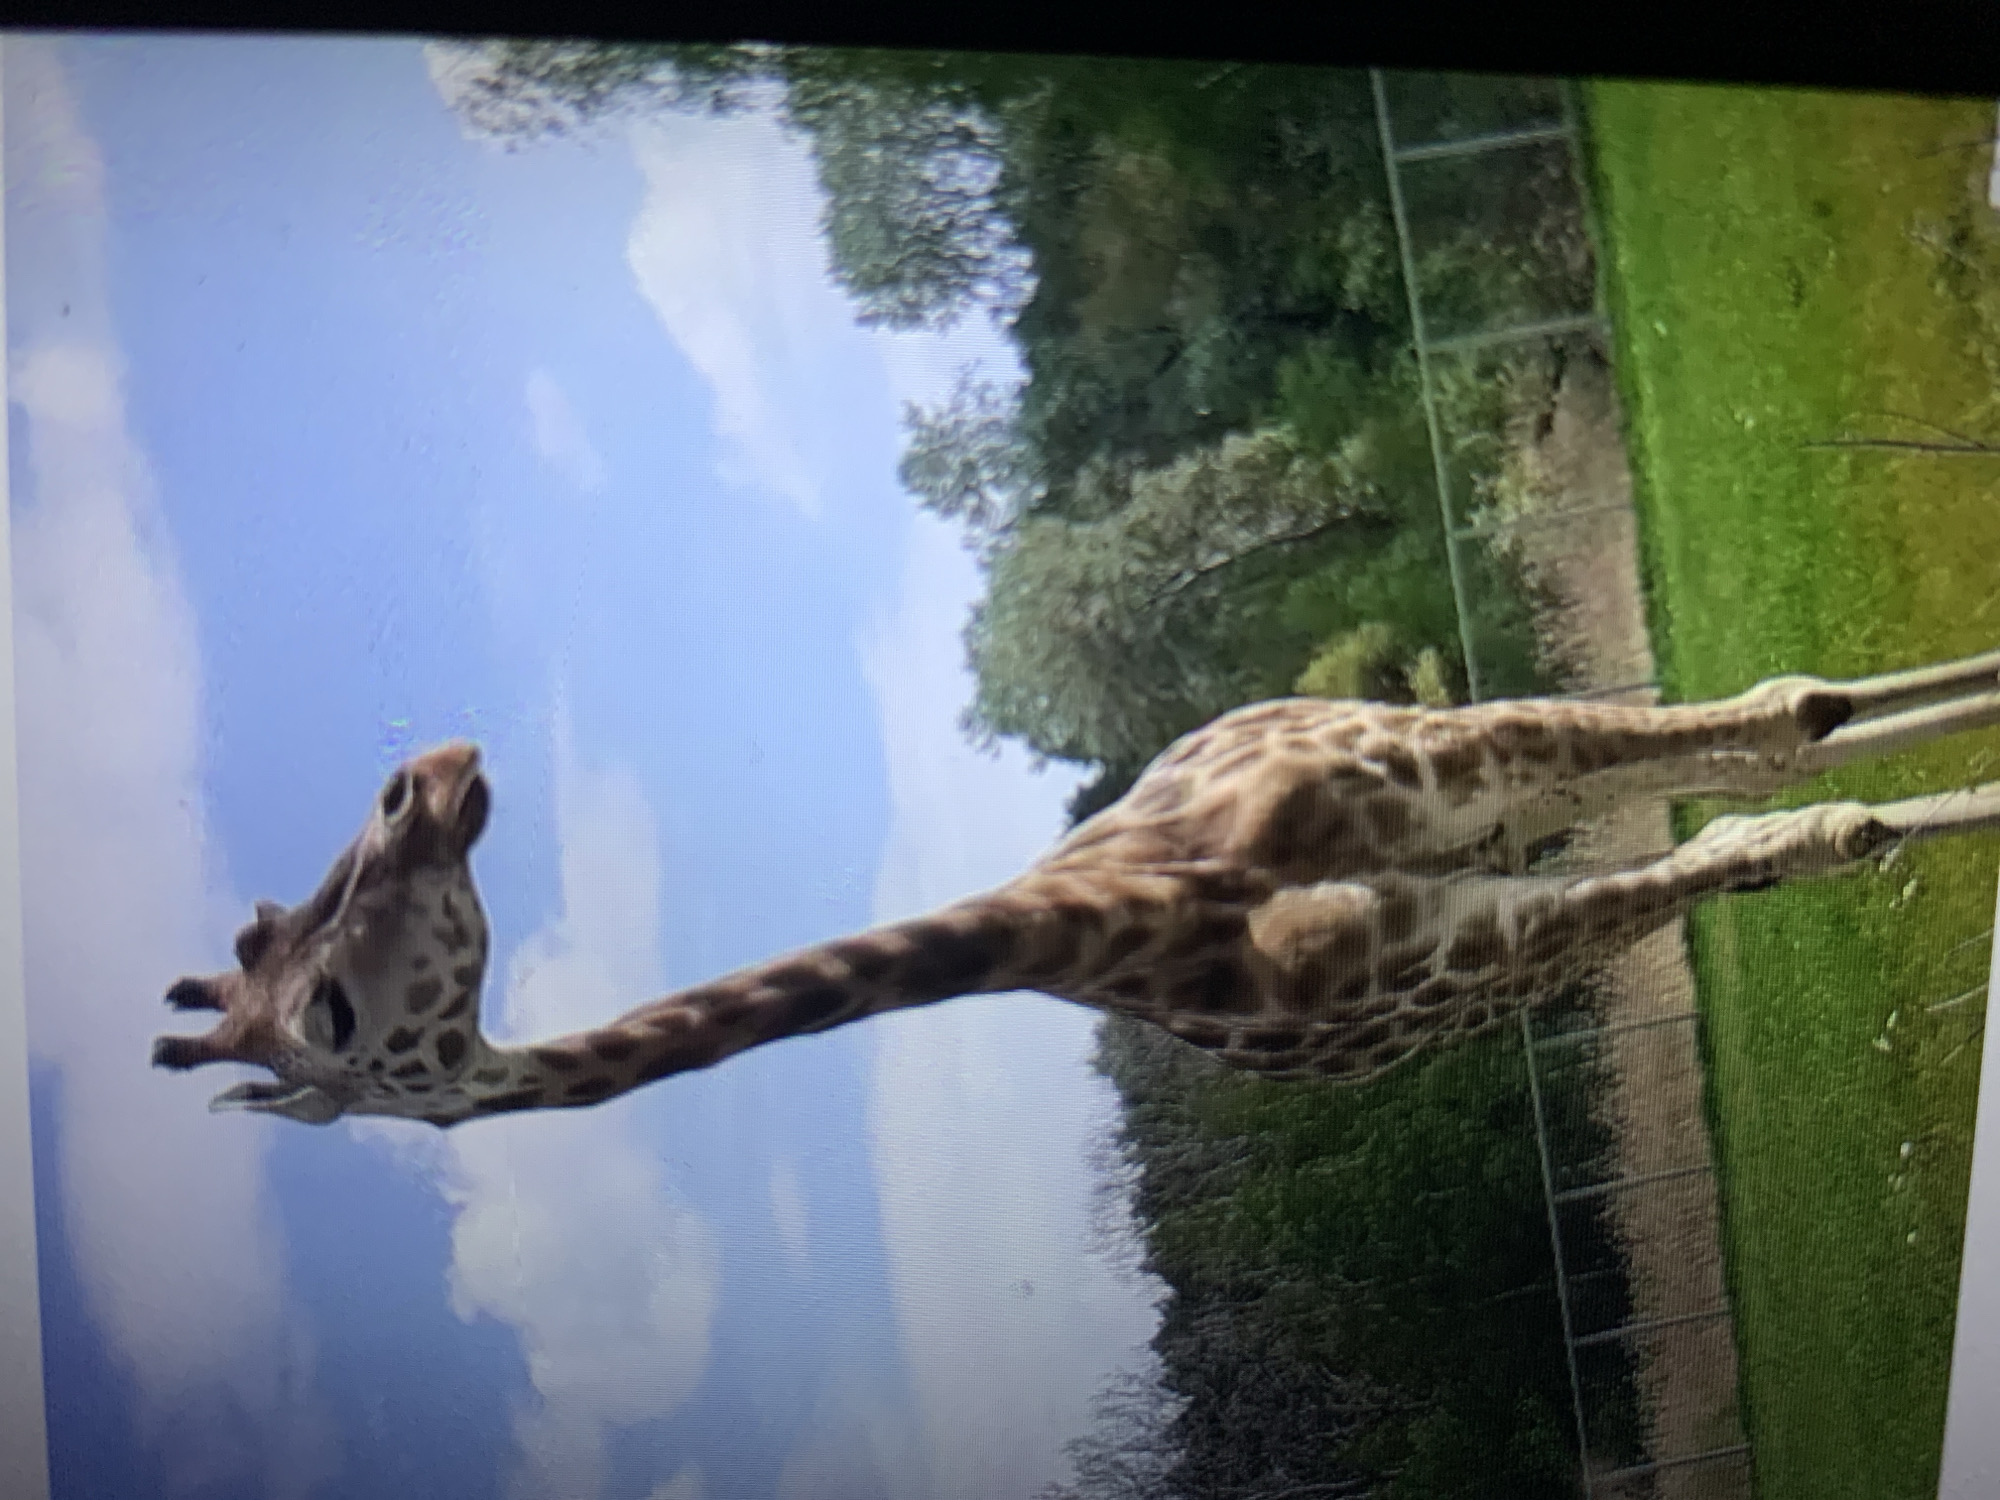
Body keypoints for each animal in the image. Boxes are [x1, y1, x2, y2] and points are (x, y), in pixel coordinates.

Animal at [153, 646, 2000, 1128]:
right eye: (327, 1010)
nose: (432, 775)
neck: (1118, 922)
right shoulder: (1469, 953)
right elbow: (1798, 829)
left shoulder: (1465, 849)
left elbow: (1802, 788)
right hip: (1496, 814)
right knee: (1765, 751)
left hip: (1461, 750)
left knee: (1779, 721)